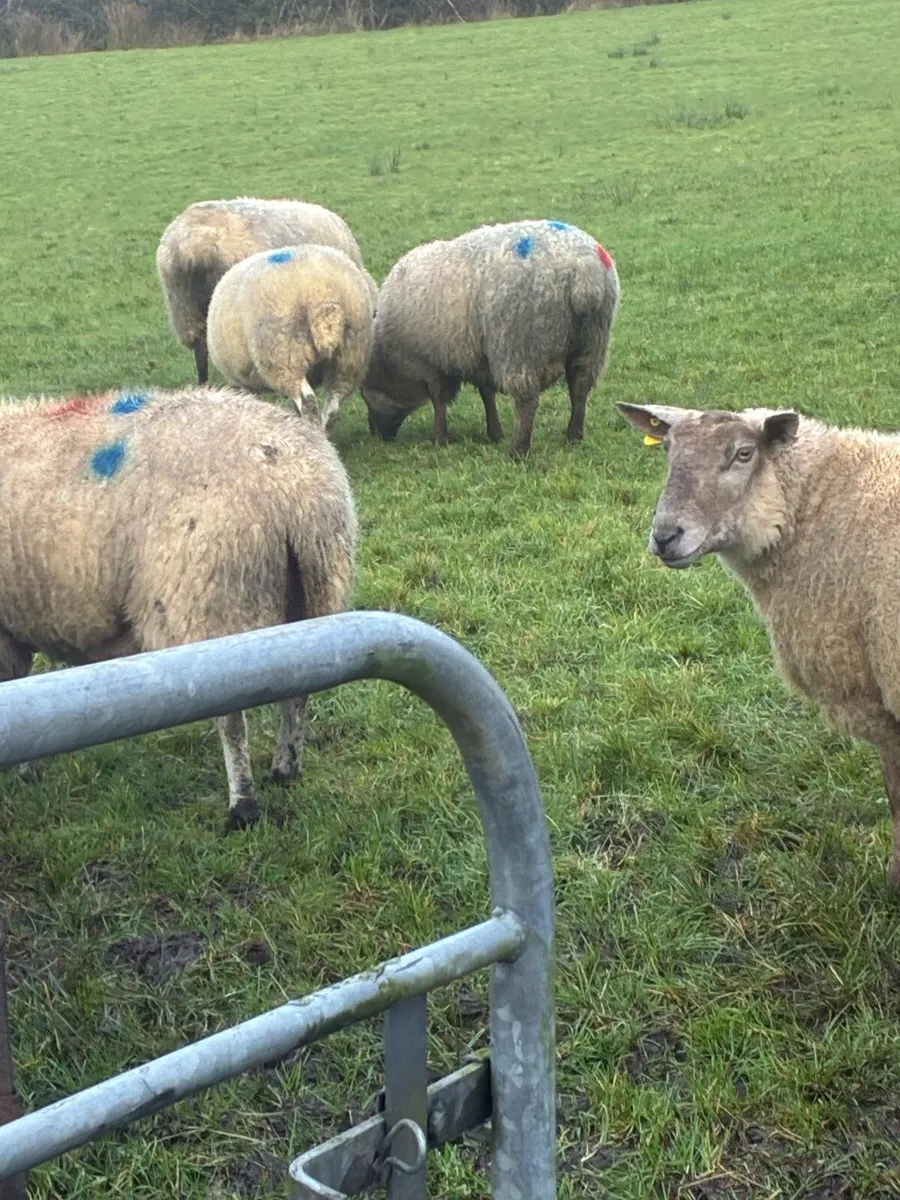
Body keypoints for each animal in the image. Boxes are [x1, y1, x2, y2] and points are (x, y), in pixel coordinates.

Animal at [0, 386, 356, 831]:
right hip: (316, 597)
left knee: (232, 719)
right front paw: (30, 767)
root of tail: (296, 490)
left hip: (209, 602)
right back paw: (285, 769)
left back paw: (242, 805)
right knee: (300, 692)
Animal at [207, 244, 378, 432]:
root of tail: (321, 294)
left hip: (285, 357)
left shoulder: (242, 383)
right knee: (333, 405)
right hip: (350, 355)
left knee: (308, 402)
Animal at [361, 219, 620, 459]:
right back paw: (574, 436)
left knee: (527, 401)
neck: (391, 359)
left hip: (519, 343)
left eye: (364, 393)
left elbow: (439, 401)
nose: (376, 434)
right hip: (592, 339)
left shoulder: (430, 362)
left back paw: (518, 452)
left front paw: (440, 439)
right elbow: (487, 394)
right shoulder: (479, 356)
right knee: (580, 386)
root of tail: (584, 270)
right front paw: (494, 433)